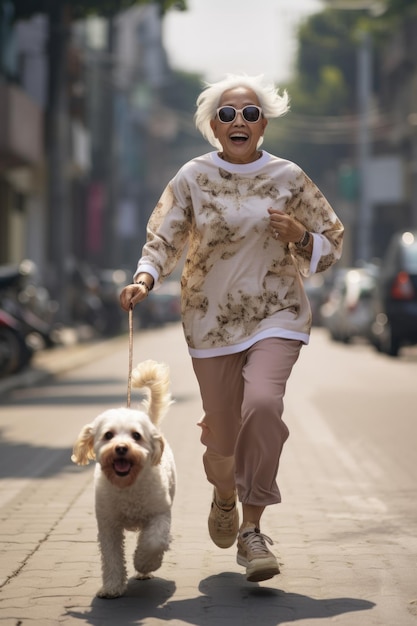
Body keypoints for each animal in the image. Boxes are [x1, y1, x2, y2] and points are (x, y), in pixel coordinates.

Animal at [71, 358, 176, 596]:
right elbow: (111, 557)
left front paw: (144, 563)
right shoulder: (108, 525)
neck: (127, 485)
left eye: (136, 436)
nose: (120, 448)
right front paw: (112, 587)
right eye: (108, 435)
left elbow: (153, 542)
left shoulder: (159, 515)